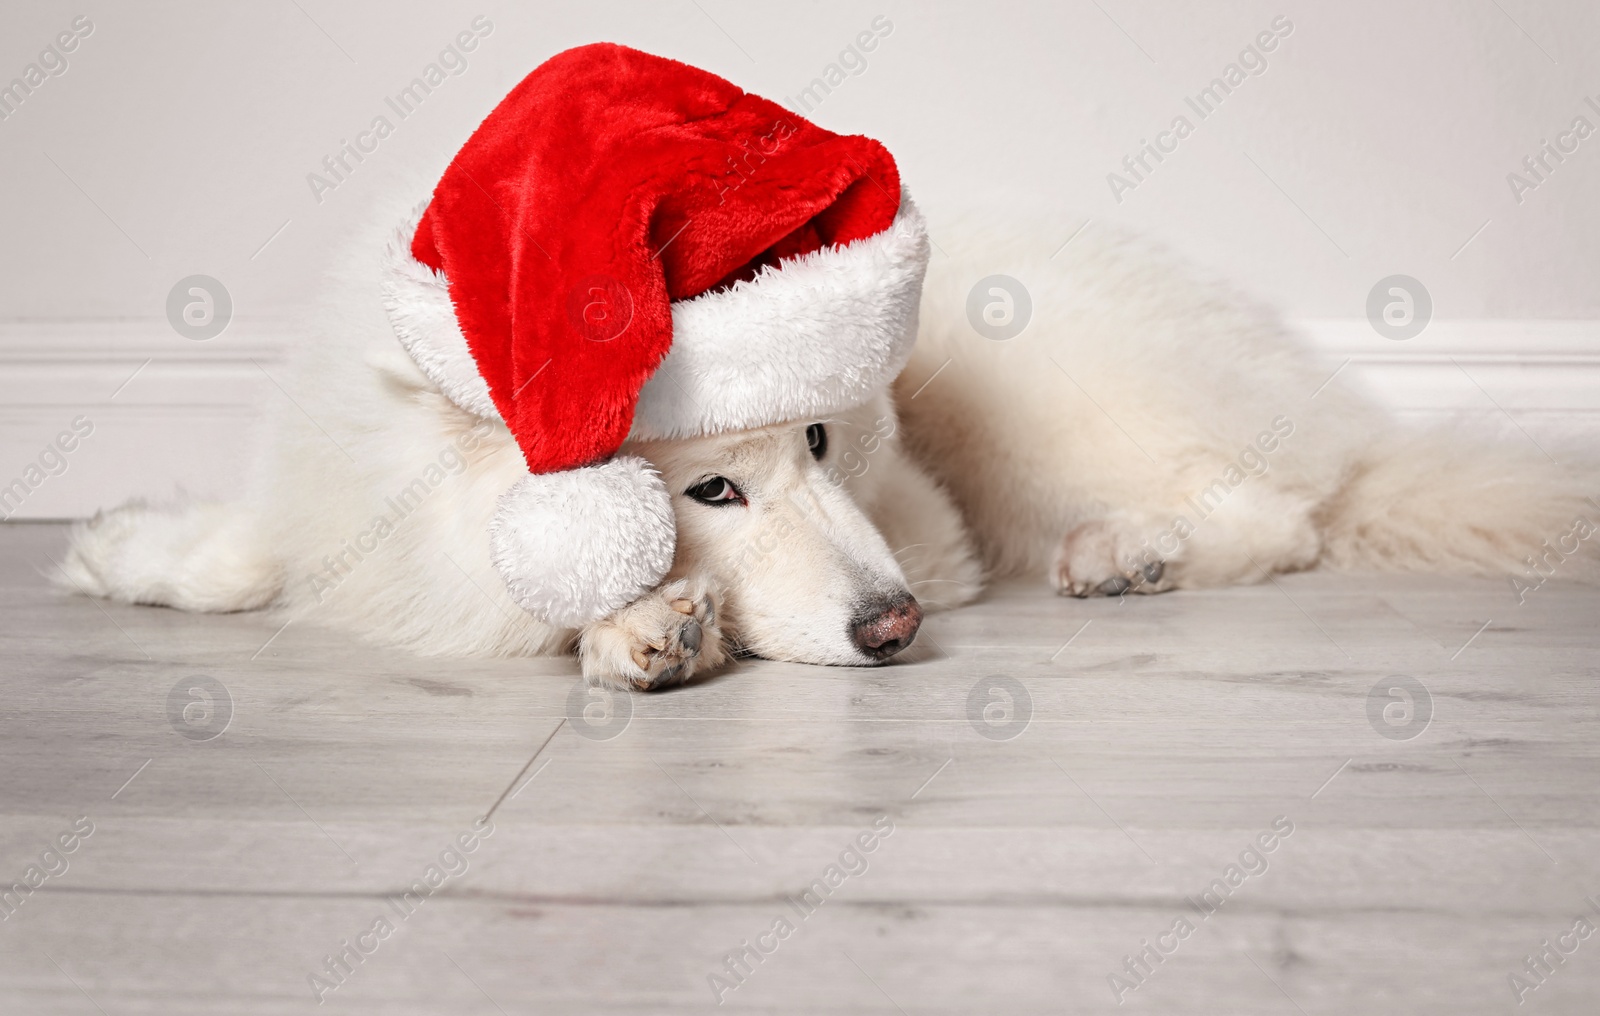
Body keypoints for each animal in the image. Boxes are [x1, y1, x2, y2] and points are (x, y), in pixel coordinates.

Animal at [56, 192, 1593, 688]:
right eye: (711, 485)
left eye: (821, 439)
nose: (897, 624)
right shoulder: (347, 507)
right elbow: (257, 552)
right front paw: (122, 550)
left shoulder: (929, 527)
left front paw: (645, 627)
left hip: (1061, 402)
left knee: (1281, 512)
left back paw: (1128, 553)